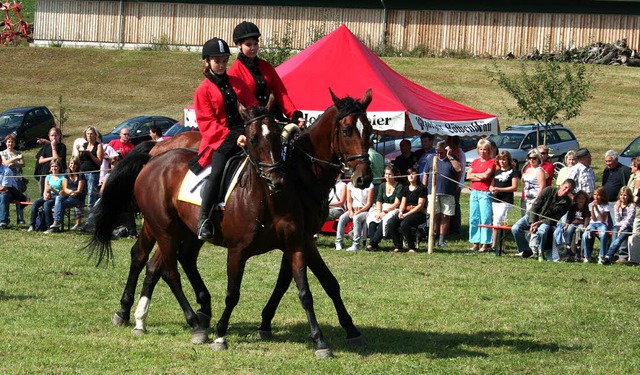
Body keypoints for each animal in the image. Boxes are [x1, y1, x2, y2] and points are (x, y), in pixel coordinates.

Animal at [87, 89, 372, 358]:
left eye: (369, 130)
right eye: (347, 130)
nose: (363, 178)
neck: (300, 175)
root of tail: (155, 155)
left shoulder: (298, 241)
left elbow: (314, 283)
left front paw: (344, 330)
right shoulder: (273, 244)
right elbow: (255, 288)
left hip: (183, 231)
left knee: (166, 260)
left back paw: (157, 314)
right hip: (163, 228)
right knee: (157, 264)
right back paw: (162, 318)